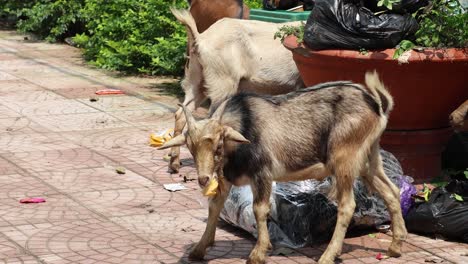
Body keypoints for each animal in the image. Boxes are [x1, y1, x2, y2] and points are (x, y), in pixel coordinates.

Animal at [160, 71, 406, 262]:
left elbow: (259, 209)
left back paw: (328, 255)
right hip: (367, 159)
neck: (245, 125)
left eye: (218, 145)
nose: (203, 179)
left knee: (347, 205)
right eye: (191, 147)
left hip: (344, 158)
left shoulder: (262, 173)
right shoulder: (228, 176)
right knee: (391, 191)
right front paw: (199, 249)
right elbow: (214, 206)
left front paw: (258, 253)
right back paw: (396, 246)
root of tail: (376, 105)